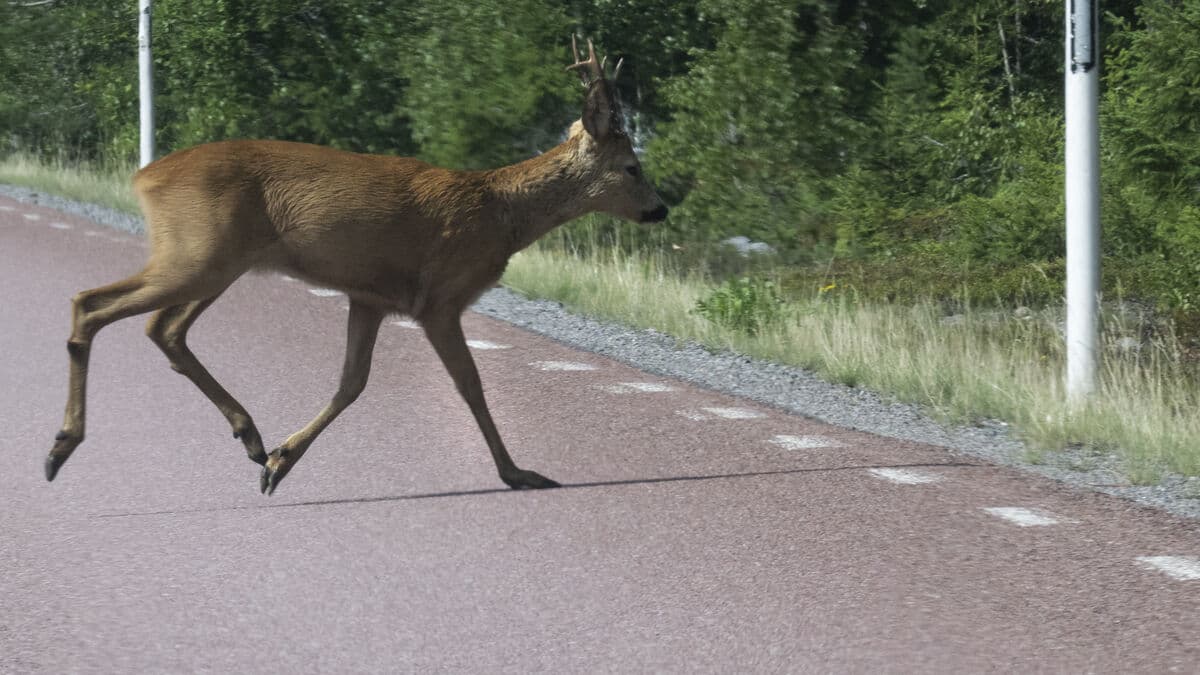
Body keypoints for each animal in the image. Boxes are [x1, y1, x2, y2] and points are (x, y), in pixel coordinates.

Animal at [44, 37, 667, 495]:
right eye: (633, 167)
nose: (660, 209)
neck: (498, 213)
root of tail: (143, 177)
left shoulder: (369, 297)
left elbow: (352, 382)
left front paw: (281, 461)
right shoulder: (440, 297)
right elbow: (470, 384)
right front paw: (518, 473)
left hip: (217, 261)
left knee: (163, 327)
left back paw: (250, 437)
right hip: (197, 255)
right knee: (92, 303)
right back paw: (61, 446)